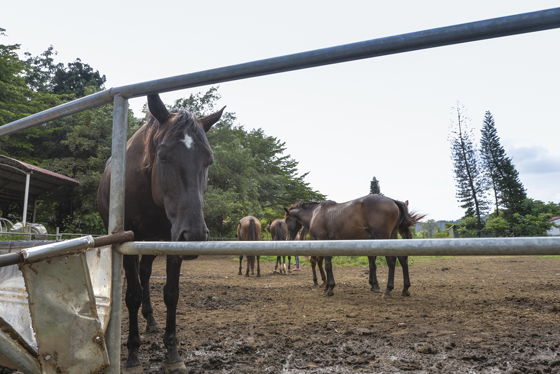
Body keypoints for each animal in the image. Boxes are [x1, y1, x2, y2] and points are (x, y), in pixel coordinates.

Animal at [97, 94, 224, 374]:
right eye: (163, 155)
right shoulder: (128, 242)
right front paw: (133, 355)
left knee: (146, 273)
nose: (195, 235)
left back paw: (152, 320)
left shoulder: (172, 241)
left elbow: (171, 294)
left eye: (209, 159)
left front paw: (172, 353)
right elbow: (132, 294)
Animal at [286, 194, 422, 296]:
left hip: (383, 237)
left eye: (287, 220)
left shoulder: (324, 242)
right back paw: (405, 289)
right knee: (402, 259)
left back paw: (388, 290)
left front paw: (329, 288)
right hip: (392, 236)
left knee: (391, 260)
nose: (289, 238)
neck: (315, 213)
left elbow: (328, 266)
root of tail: (392, 200)